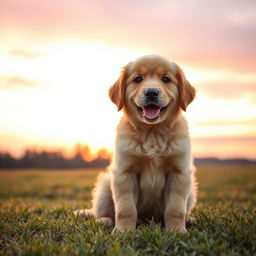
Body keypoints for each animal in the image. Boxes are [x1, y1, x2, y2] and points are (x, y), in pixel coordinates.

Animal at [75, 55, 197, 233]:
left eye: (166, 79)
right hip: (105, 186)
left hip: (192, 191)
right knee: (102, 212)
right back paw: (106, 220)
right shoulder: (124, 172)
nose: (151, 92)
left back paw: (189, 219)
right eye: (138, 79)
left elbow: (175, 208)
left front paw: (177, 230)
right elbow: (126, 208)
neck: (152, 133)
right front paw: (123, 231)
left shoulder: (180, 173)